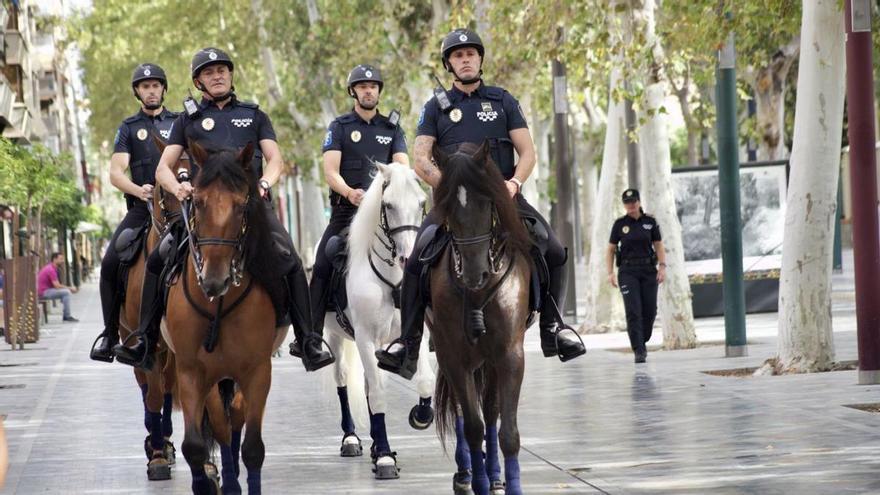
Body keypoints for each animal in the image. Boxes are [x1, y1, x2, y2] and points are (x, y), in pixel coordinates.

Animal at [163, 141, 288, 494]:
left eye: (242, 204)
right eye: (198, 201)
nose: (214, 280)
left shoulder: (258, 371)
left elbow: (252, 447)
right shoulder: (191, 371)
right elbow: (195, 444)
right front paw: (207, 483)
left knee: (236, 419)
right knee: (222, 424)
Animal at [322, 163, 434, 480]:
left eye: (421, 202)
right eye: (388, 205)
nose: (408, 258)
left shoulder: (414, 336)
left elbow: (426, 382)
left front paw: (421, 416)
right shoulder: (364, 338)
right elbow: (379, 394)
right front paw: (384, 457)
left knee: (366, 385)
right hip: (337, 338)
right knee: (343, 379)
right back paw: (351, 439)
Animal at [430, 140, 532, 495]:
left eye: (487, 202)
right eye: (447, 205)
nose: (475, 274)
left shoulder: (509, 355)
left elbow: (507, 432)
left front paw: (507, 484)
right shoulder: (454, 357)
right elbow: (471, 425)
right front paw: (478, 482)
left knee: (490, 413)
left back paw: (496, 475)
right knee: (465, 413)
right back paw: (469, 475)